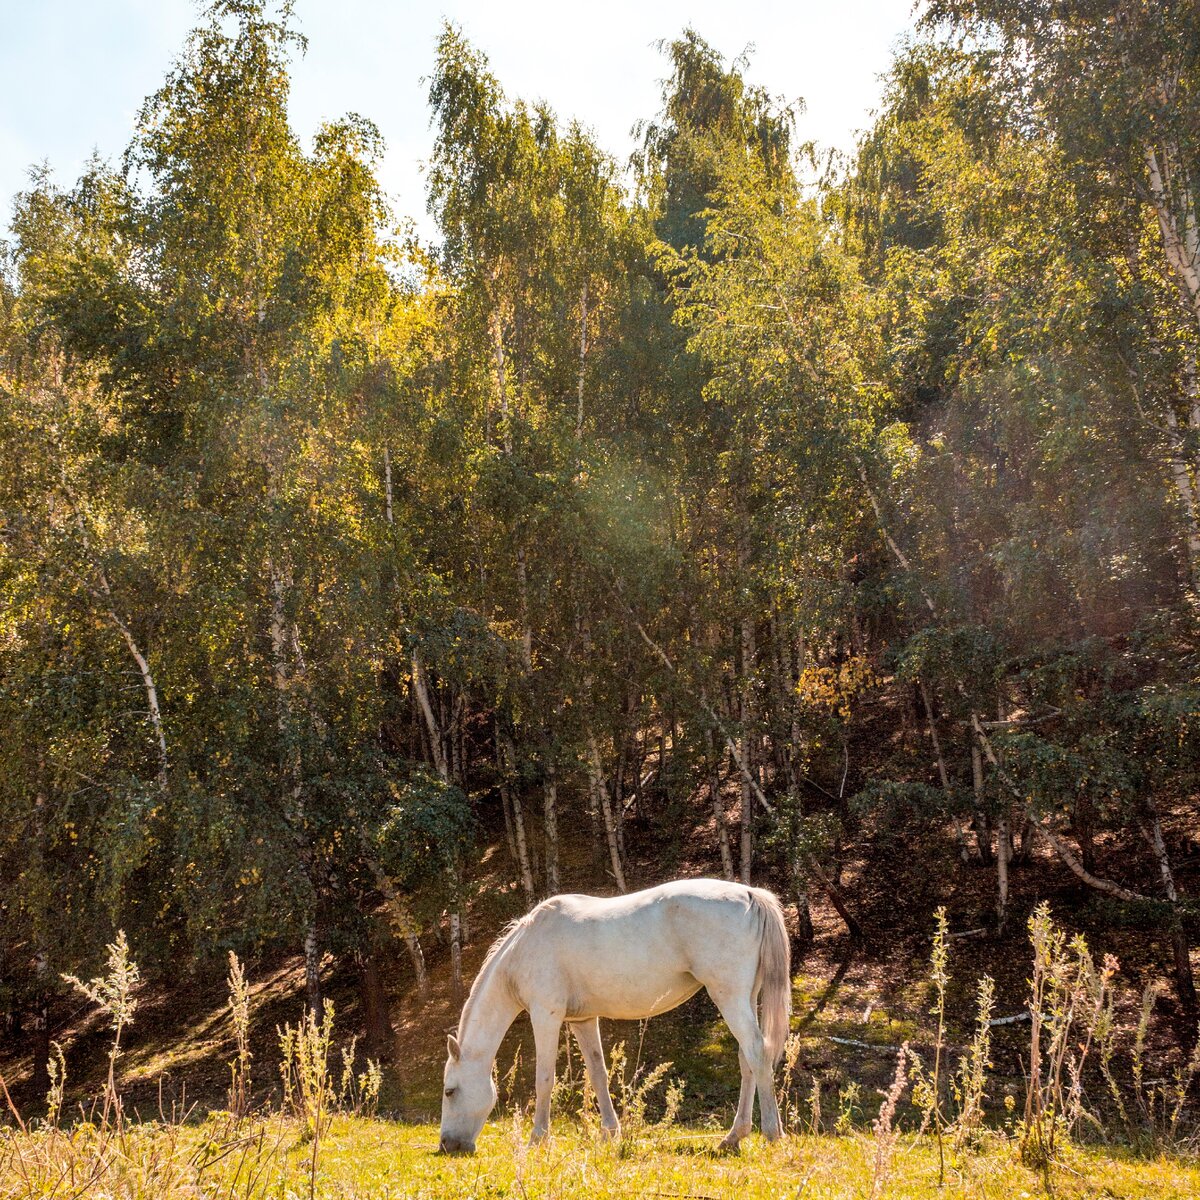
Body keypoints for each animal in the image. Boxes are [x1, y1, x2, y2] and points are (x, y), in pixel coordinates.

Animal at [436, 883, 792, 1152]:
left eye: (450, 1091)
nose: (447, 1146)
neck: (525, 947)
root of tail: (750, 893)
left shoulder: (545, 1015)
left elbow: (544, 1079)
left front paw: (538, 1139)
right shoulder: (581, 1020)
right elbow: (598, 1073)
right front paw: (610, 1132)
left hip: (728, 996)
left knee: (757, 1053)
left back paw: (772, 1133)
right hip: (745, 998)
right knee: (747, 1059)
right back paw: (734, 1137)